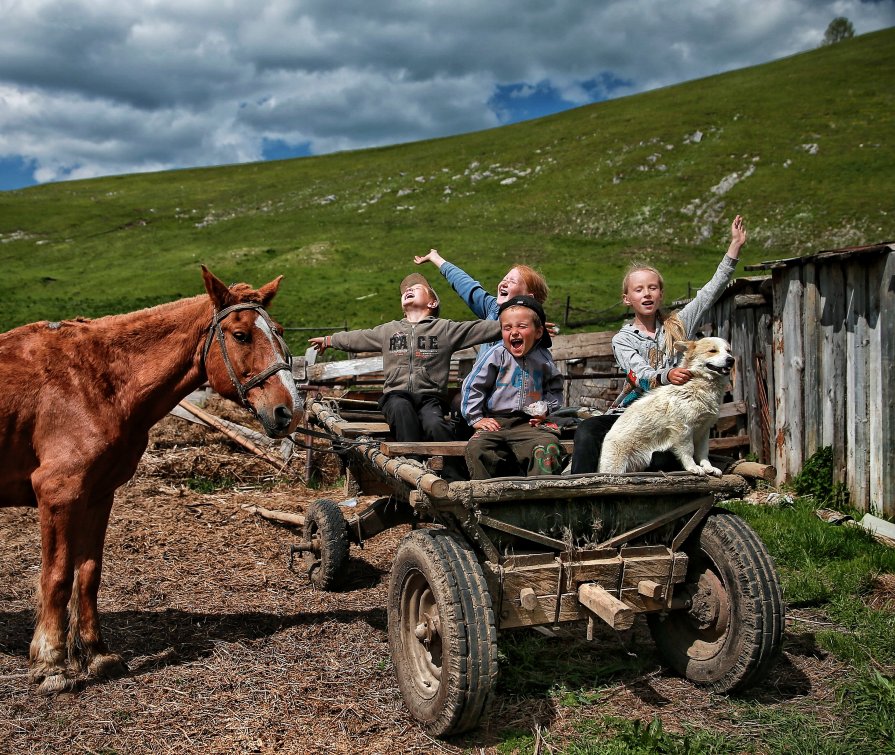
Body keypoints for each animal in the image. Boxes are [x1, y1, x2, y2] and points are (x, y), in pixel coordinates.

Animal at [0, 268, 300, 696]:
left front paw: (96, 654)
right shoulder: (58, 493)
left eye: (278, 331)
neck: (95, 381)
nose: (288, 411)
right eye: (242, 335)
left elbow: (88, 574)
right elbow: (56, 577)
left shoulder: (98, 496)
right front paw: (51, 664)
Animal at [600, 338, 736, 476]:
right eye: (712, 351)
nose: (731, 360)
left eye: (729, 351)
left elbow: (703, 453)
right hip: (615, 467)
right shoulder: (683, 428)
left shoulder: (704, 430)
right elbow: (688, 451)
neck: (699, 384)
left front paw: (709, 467)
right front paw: (692, 467)